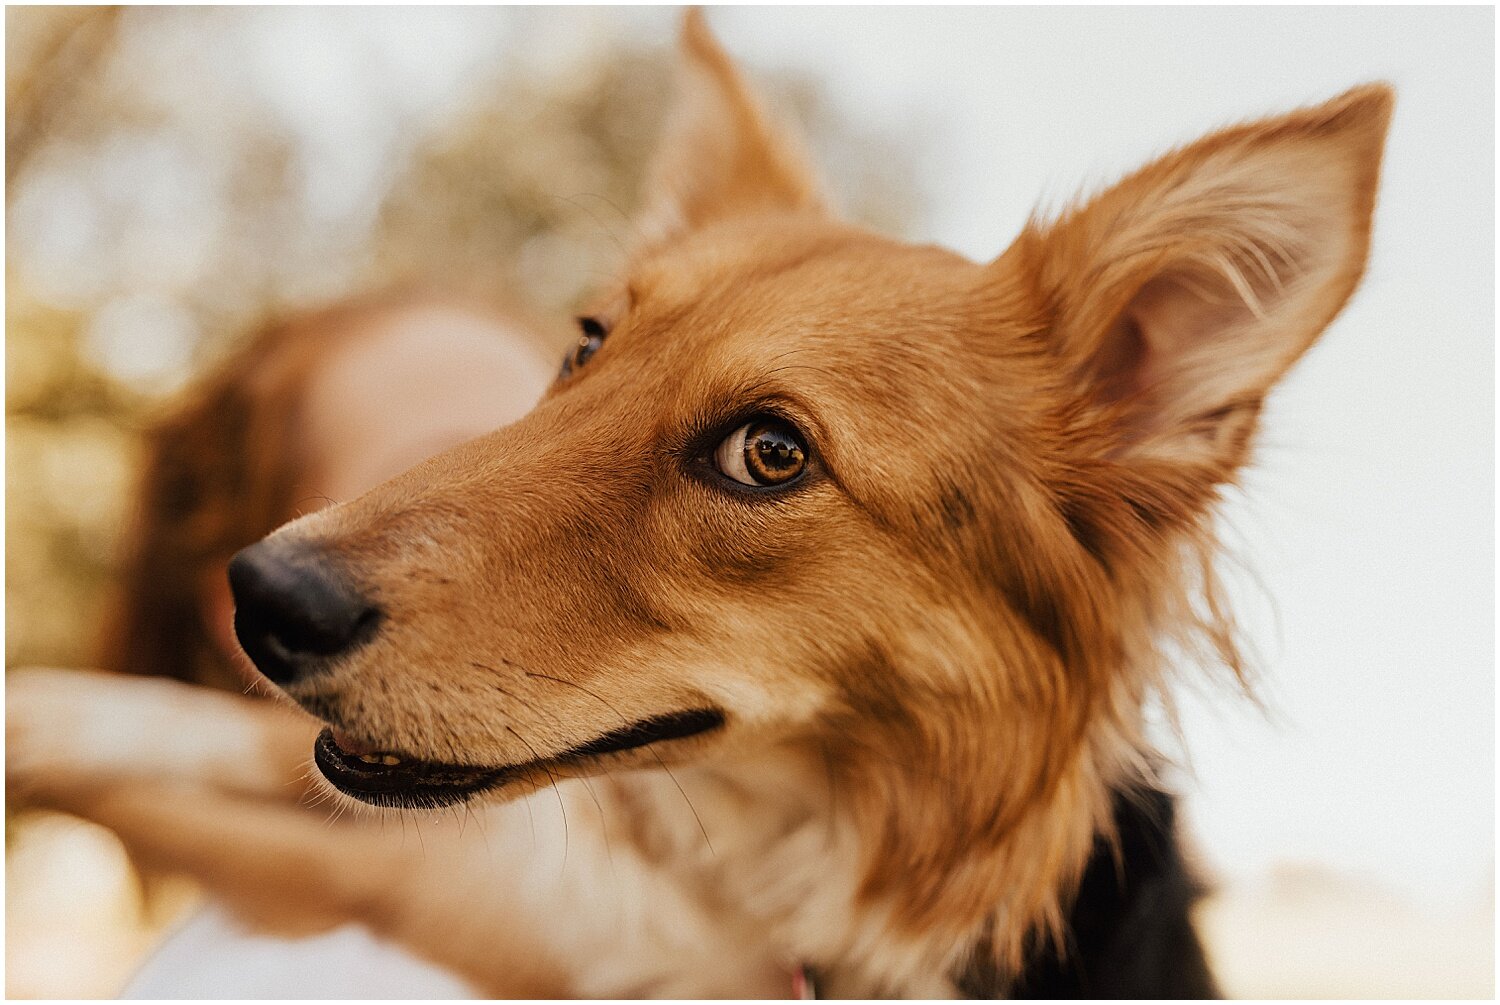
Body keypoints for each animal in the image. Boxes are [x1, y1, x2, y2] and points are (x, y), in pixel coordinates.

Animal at [8, 9, 1392, 1002]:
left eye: (770, 454)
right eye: (586, 345)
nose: (263, 599)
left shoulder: (522, 909)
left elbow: (234, 815)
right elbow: (202, 737)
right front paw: (38, 724)